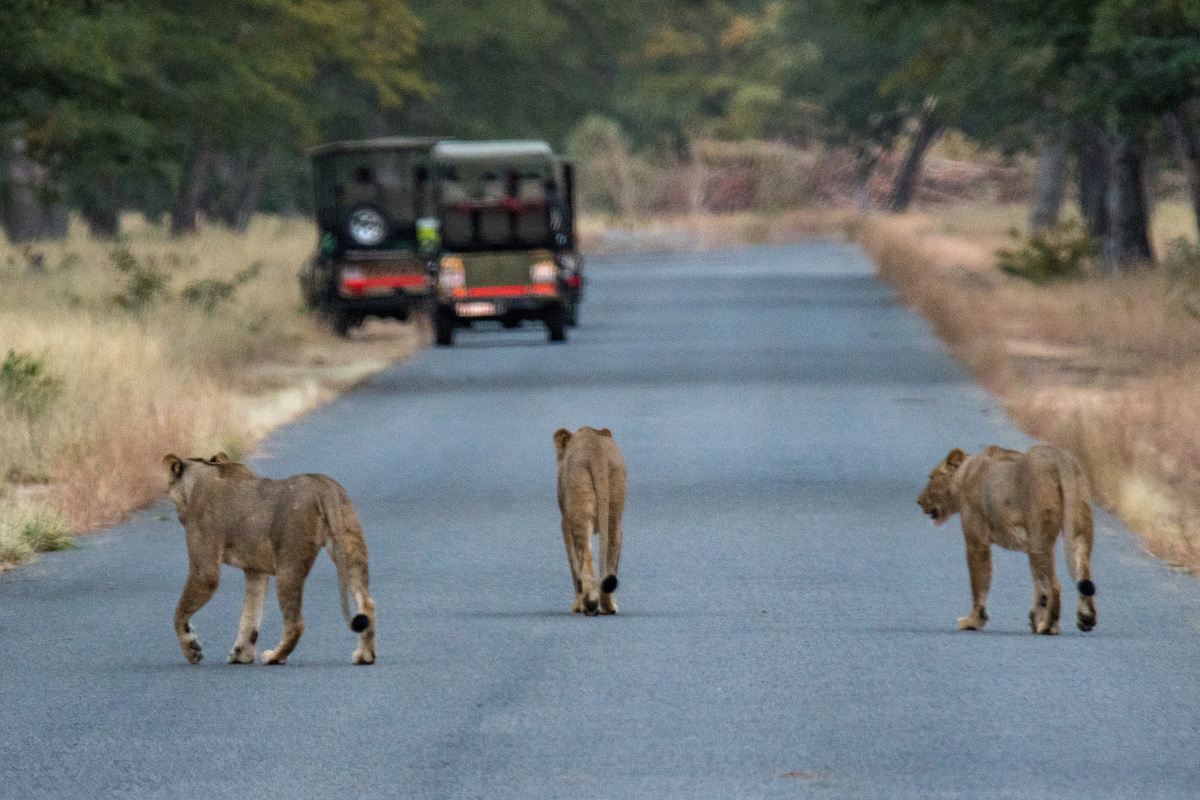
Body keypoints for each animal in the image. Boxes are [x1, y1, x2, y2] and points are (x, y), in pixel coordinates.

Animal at [163, 452, 376, 665]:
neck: (202, 474)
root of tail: (323, 484)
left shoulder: (205, 570)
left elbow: (179, 613)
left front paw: (192, 650)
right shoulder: (255, 570)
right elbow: (250, 614)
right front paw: (241, 655)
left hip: (289, 563)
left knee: (296, 623)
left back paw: (275, 656)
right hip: (351, 546)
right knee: (366, 602)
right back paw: (365, 656)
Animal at [554, 427, 626, 615]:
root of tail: (596, 451)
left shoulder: (565, 524)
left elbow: (574, 566)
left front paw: (577, 605)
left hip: (580, 513)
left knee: (585, 557)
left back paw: (589, 604)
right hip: (614, 511)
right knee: (611, 555)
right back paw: (608, 607)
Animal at [918, 444, 1097, 635]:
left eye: (932, 477)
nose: (919, 501)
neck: (965, 473)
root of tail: (1059, 459)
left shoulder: (977, 543)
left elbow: (979, 585)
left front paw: (973, 621)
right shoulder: (1028, 547)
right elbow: (1039, 588)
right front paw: (1035, 618)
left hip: (1039, 541)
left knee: (1055, 587)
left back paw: (1049, 626)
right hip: (1078, 529)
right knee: (1082, 570)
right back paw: (1086, 618)